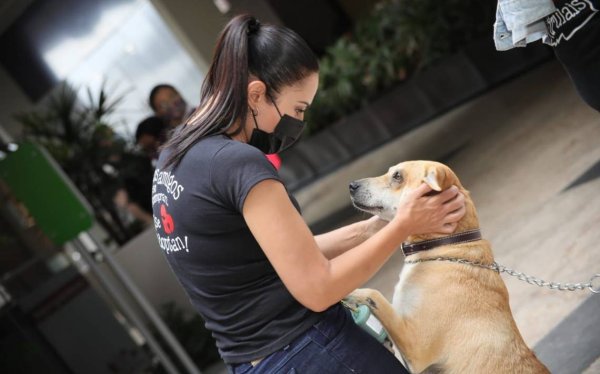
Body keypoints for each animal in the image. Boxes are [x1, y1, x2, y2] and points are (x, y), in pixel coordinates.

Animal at [346, 161, 548, 374]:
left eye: (397, 176)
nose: (351, 185)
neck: (446, 246)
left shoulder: (415, 347)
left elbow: (374, 293)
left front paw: (350, 294)